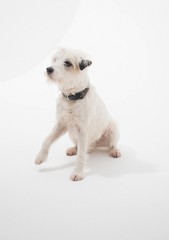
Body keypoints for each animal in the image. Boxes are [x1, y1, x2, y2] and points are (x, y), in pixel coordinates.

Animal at [35, 47, 121, 181]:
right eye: (55, 59)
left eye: (67, 63)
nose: (48, 69)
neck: (72, 97)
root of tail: (93, 146)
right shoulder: (61, 123)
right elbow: (47, 139)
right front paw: (40, 157)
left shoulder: (82, 130)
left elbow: (81, 155)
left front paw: (78, 173)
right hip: (72, 135)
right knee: (78, 146)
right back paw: (73, 149)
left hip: (113, 128)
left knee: (111, 145)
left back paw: (115, 151)